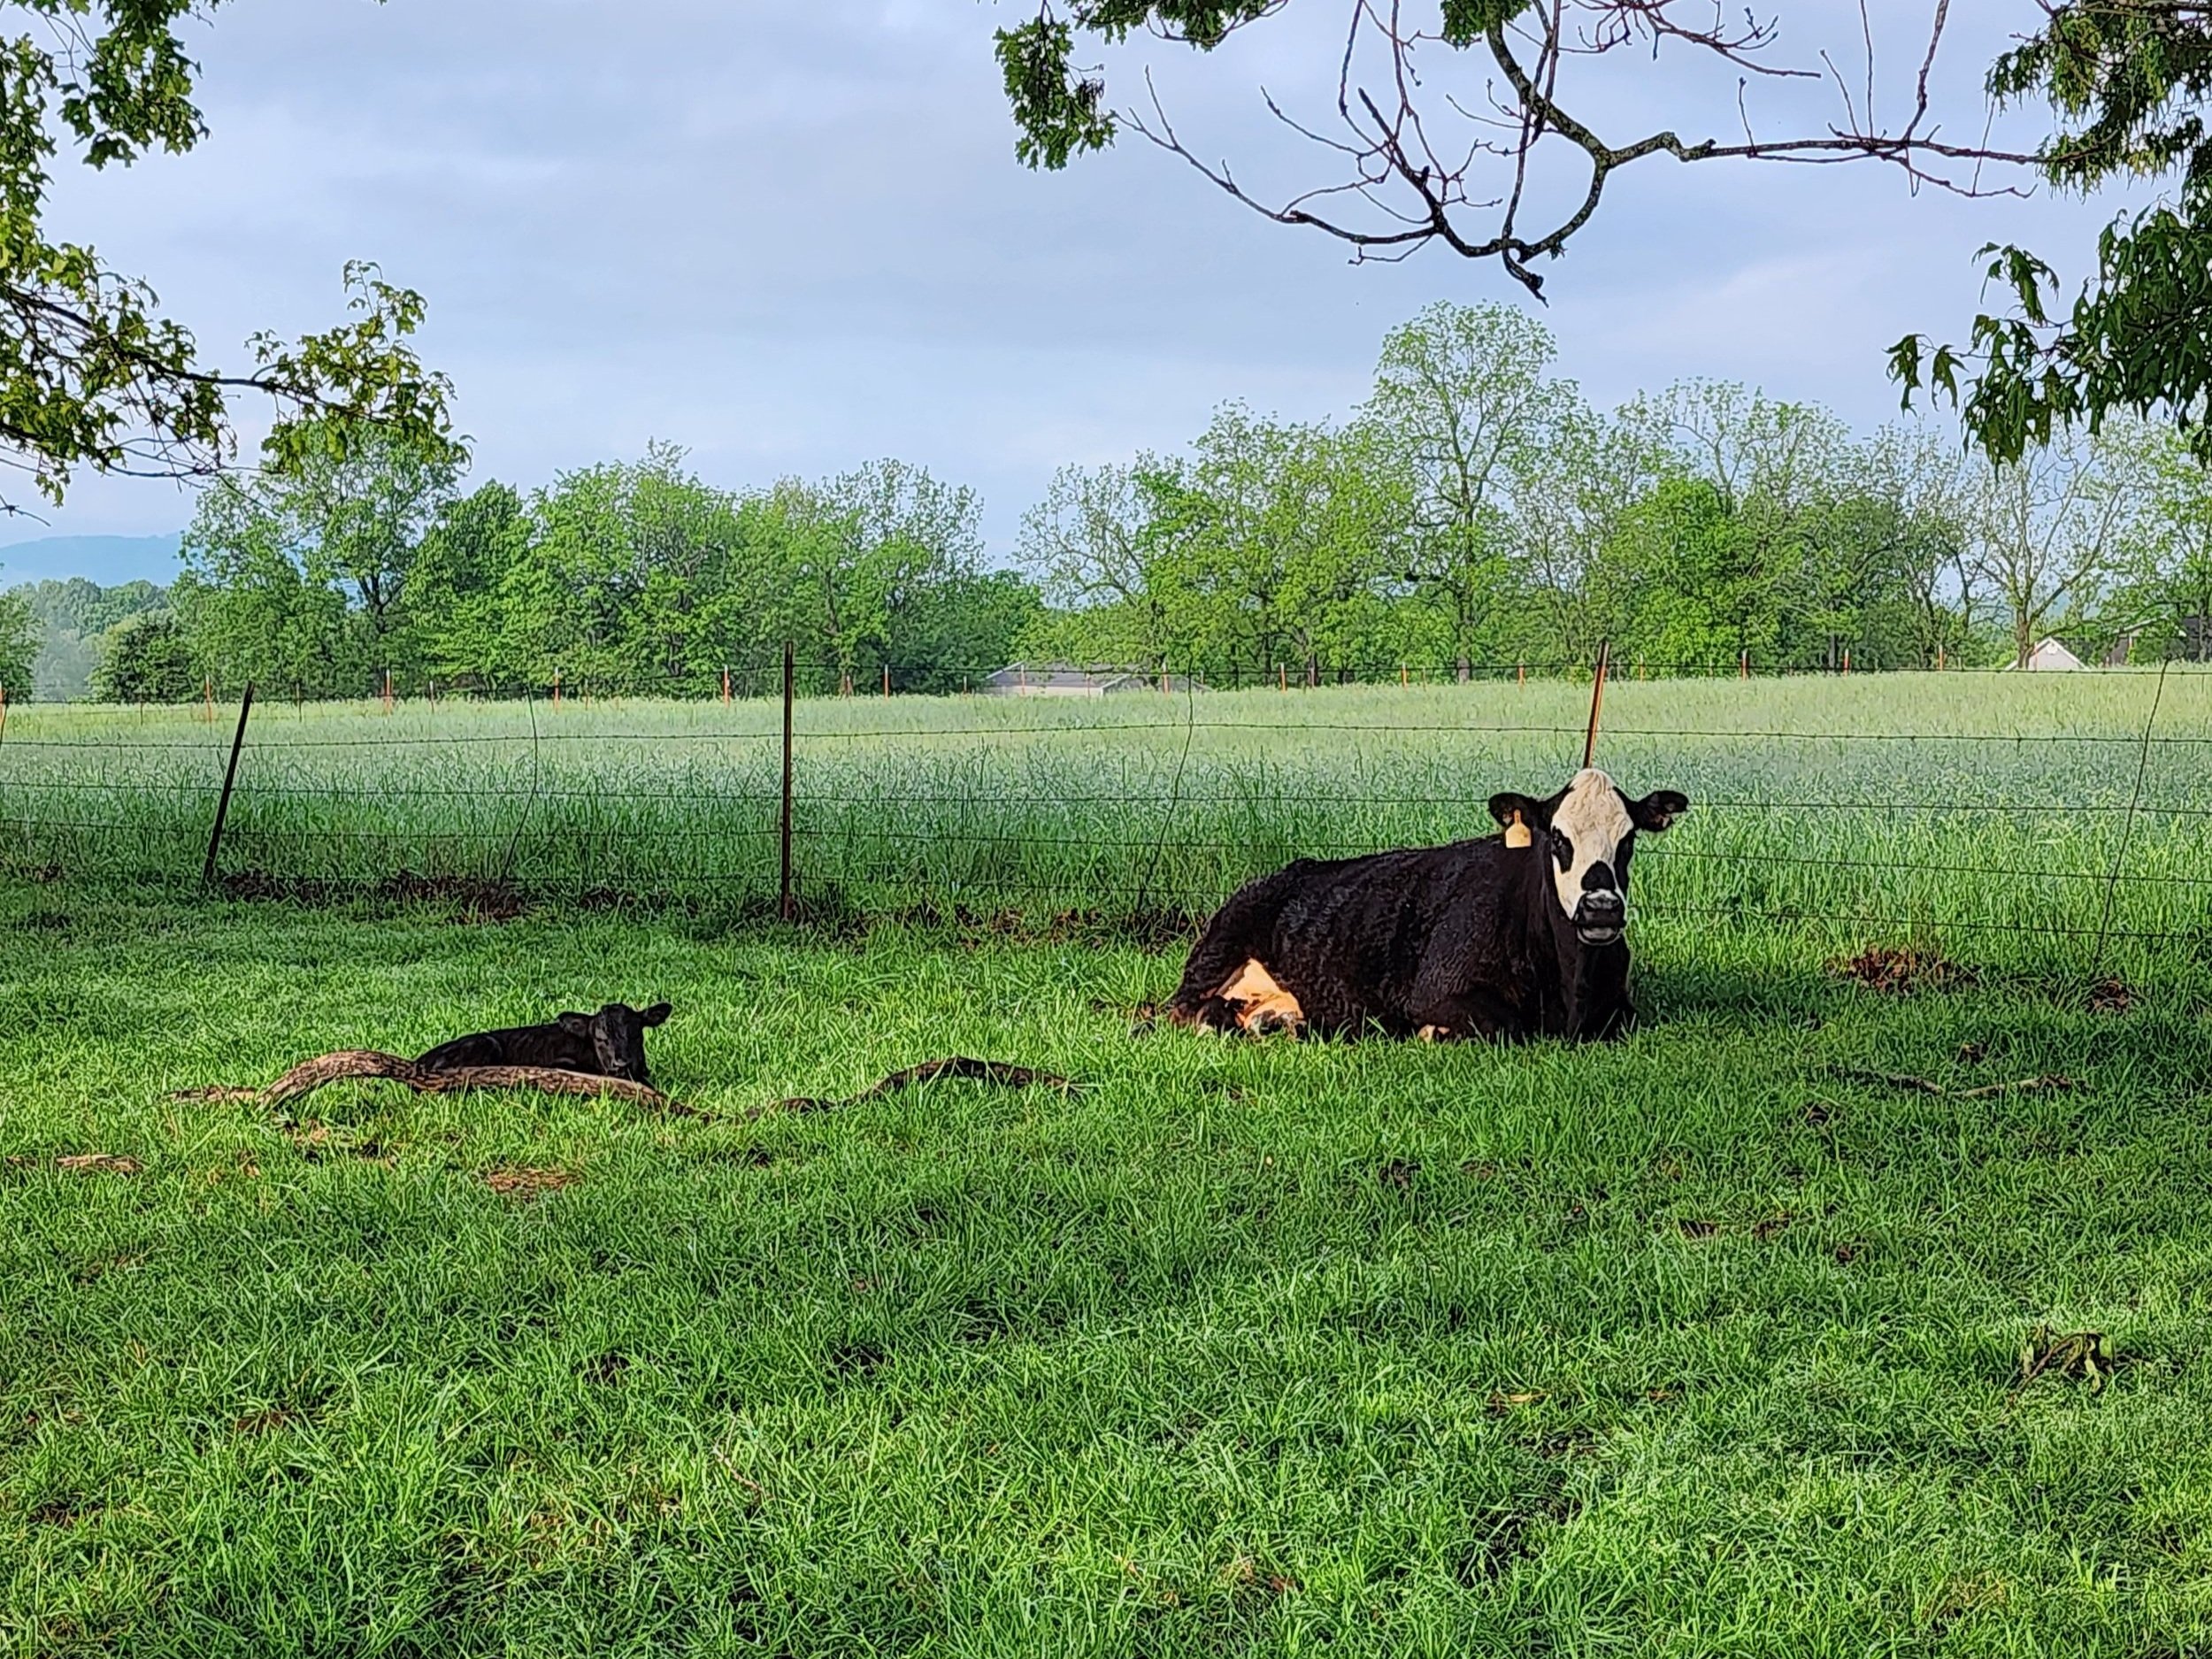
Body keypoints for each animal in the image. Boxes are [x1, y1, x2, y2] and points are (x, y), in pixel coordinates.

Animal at [1164, 768, 1687, 1042]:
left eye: (1628, 840)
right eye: (1558, 837)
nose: (1601, 908)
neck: (1569, 985)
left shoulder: (1620, 1007)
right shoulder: (1436, 991)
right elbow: (1506, 1024)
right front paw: (1434, 1033)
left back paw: (1277, 1020)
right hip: (1215, 954)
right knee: (1179, 1011)